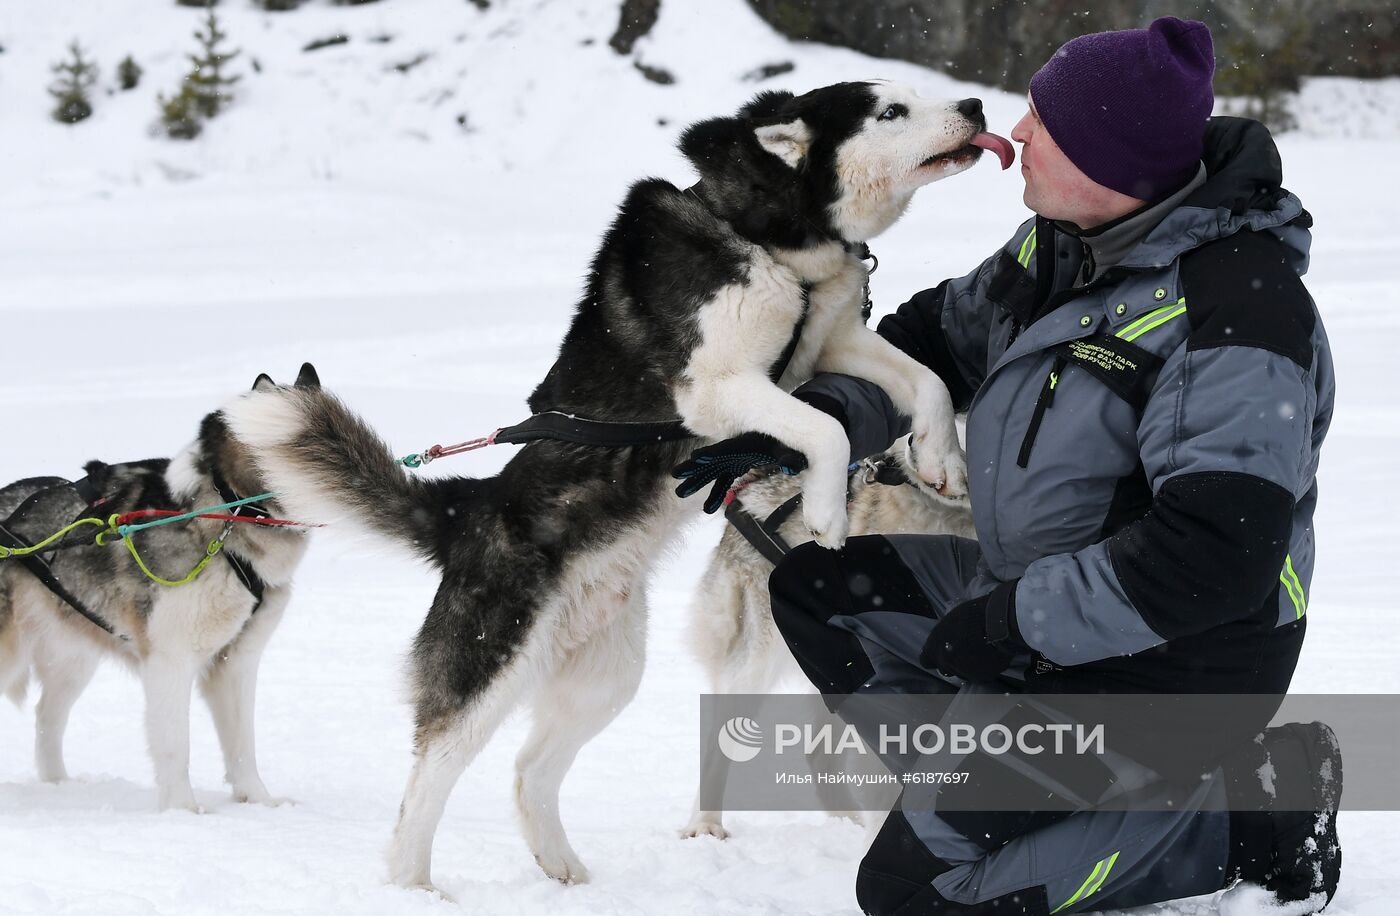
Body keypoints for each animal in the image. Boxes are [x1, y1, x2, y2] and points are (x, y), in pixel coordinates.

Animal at [226, 84, 1019, 890]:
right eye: (890, 112)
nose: (977, 104)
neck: (769, 242)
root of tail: (470, 509)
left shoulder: (834, 341)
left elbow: (923, 380)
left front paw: (943, 458)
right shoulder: (716, 385)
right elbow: (825, 429)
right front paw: (828, 512)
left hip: (607, 678)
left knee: (529, 770)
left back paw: (564, 869)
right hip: (493, 665)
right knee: (427, 779)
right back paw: (414, 884)